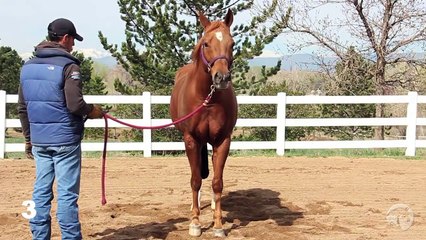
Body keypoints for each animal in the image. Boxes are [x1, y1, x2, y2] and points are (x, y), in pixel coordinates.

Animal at [169, 8, 236, 236]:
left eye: (232, 43)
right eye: (206, 43)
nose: (221, 78)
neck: (207, 99)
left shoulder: (223, 141)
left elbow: (217, 183)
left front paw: (218, 224)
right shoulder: (191, 140)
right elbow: (195, 179)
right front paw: (196, 222)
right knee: (196, 175)